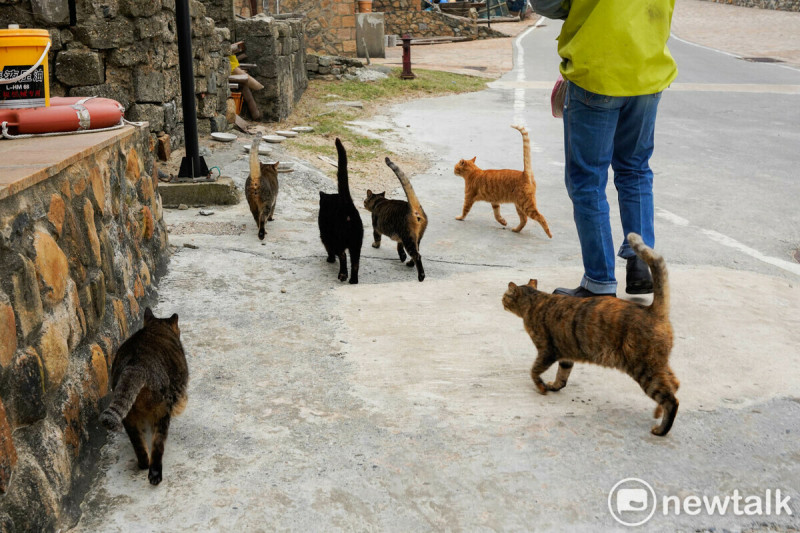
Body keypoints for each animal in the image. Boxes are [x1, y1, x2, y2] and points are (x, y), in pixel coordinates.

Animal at [98, 306, 188, 484]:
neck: (156, 328)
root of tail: (137, 365)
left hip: (130, 417)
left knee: (138, 443)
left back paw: (143, 463)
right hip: (161, 411)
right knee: (158, 444)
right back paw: (155, 473)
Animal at [318, 139, 364, 284]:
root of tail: (348, 206)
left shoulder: (325, 234)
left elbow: (328, 248)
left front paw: (330, 259)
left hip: (339, 239)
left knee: (343, 255)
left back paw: (343, 275)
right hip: (356, 243)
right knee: (355, 263)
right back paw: (353, 280)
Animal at [504, 234, 680, 436]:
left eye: (505, 295)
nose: (501, 300)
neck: (537, 300)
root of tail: (652, 310)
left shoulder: (546, 351)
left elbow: (534, 371)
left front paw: (541, 387)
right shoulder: (565, 354)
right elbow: (562, 375)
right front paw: (555, 386)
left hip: (645, 369)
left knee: (671, 400)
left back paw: (661, 429)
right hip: (659, 364)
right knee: (675, 384)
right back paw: (658, 412)